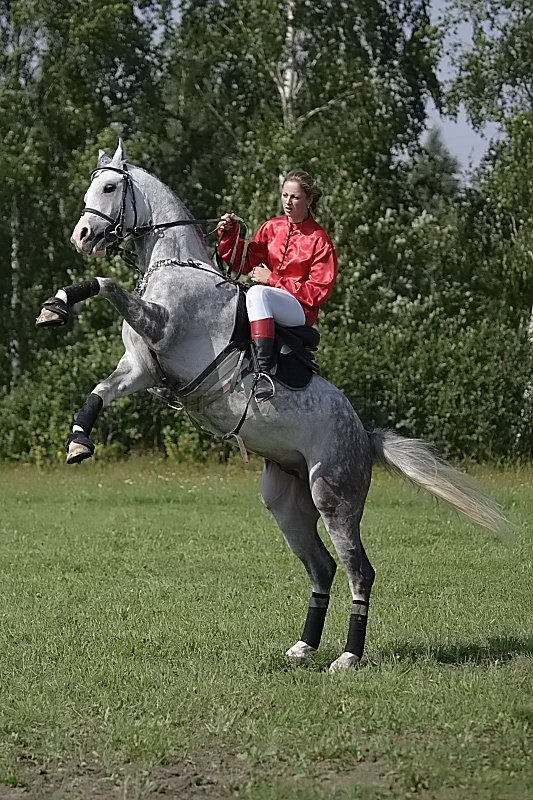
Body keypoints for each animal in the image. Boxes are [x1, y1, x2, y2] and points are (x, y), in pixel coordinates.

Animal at [36, 141, 502, 672]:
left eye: (110, 187)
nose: (82, 235)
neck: (174, 266)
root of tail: (365, 436)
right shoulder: (139, 368)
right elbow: (98, 390)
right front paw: (78, 439)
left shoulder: (162, 330)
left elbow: (106, 282)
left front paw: (58, 302)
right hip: (286, 501)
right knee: (322, 568)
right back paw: (304, 647)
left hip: (334, 497)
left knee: (359, 571)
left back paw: (348, 656)